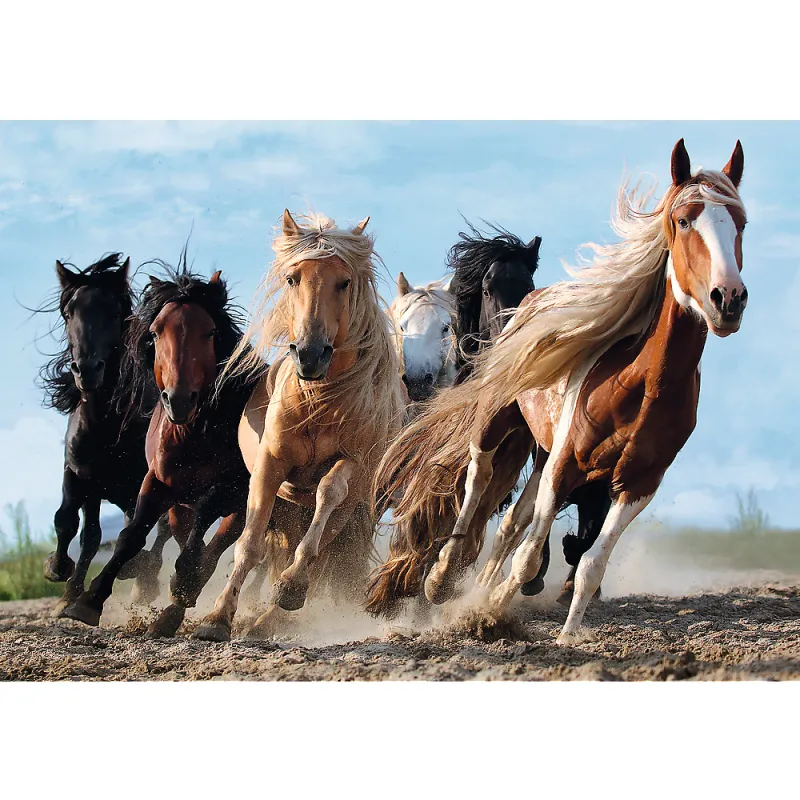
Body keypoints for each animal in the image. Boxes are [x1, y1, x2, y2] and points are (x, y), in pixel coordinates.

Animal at [37, 254, 168, 615]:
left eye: (113, 312)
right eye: (69, 313)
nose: (87, 370)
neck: (105, 426)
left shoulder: (143, 481)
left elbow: (139, 529)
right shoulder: (80, 475)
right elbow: (74, 524)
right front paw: (61, 577)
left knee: (162, 531)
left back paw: (143, 580)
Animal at [62, 263, 257, 635]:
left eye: (210, 332)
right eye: (155, 333)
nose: (178, 400)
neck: (194, 433)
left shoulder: (235, 487)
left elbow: (206, 516)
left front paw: (183, 582)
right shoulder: (157, 481)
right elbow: (131, 534)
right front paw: (88, 601)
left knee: (217, 547)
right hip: (181, 506)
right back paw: (169, 613)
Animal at [193, 210, 405, 642]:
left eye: (344, 282)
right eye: (293, 278)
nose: (310, 354)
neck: (319, 401)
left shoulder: (352, 464)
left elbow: (328, 493)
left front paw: (290, 586)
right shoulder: (270, 466)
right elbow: (249, 545)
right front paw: (217, 618)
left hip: (349, 511)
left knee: (320, 553)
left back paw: (273, 614)